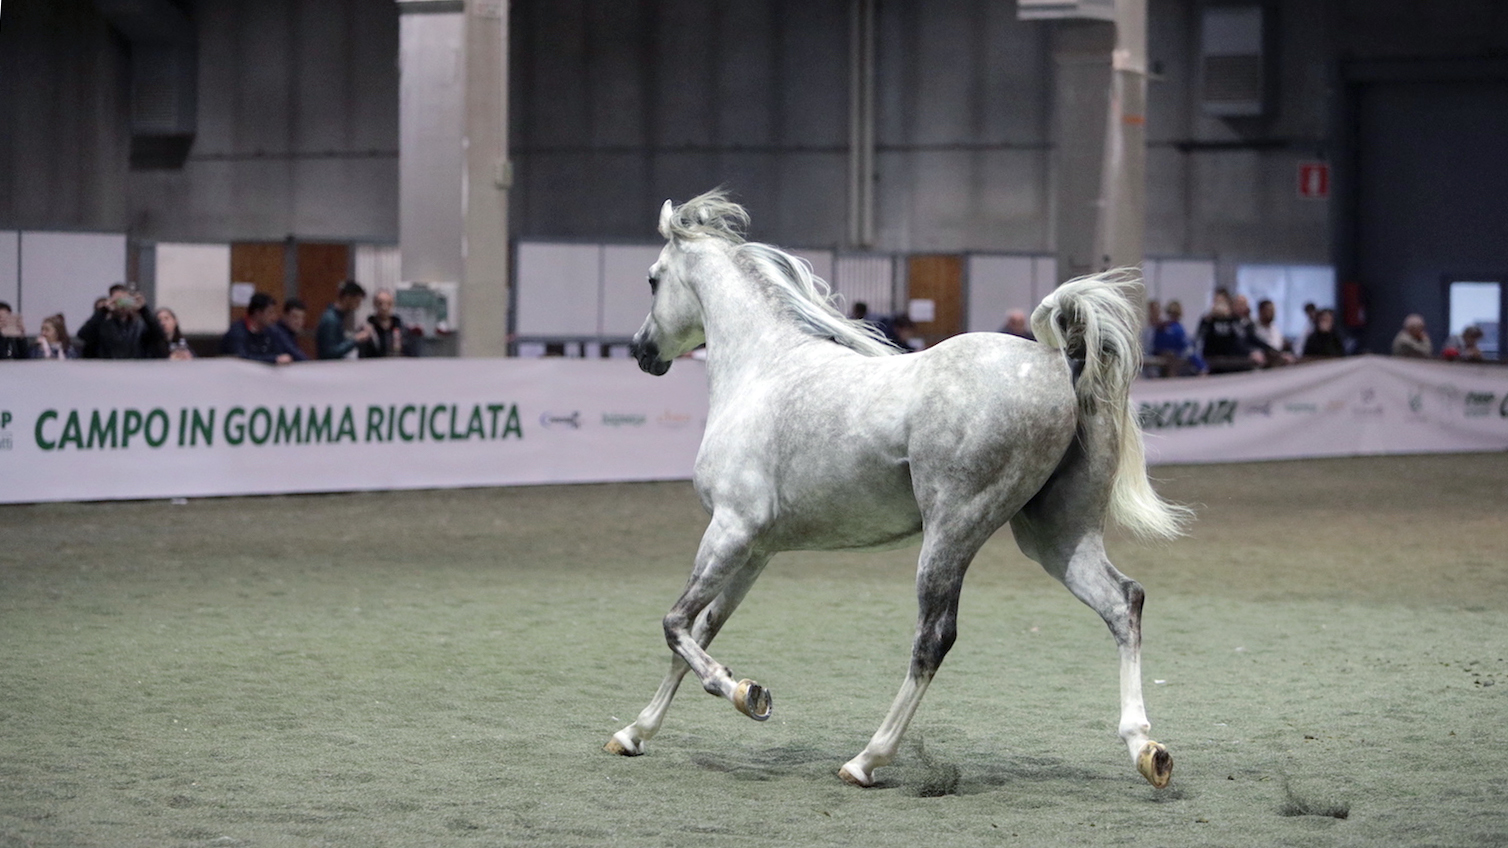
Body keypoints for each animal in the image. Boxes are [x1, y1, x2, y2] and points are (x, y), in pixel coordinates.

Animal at [607, 190, 1190, 790]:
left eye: (652, 279)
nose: (642, 351)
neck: (763, 370)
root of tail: (1059, 361)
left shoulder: (730, 529)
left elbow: (676, 626)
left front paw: (747, 694)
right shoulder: (756, 549)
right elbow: (701, 631)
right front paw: (635, 732)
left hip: (951, 533)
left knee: (934, 637)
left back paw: (867, 758)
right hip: (1056, 538)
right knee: (1123, 601)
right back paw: (1145, 748)